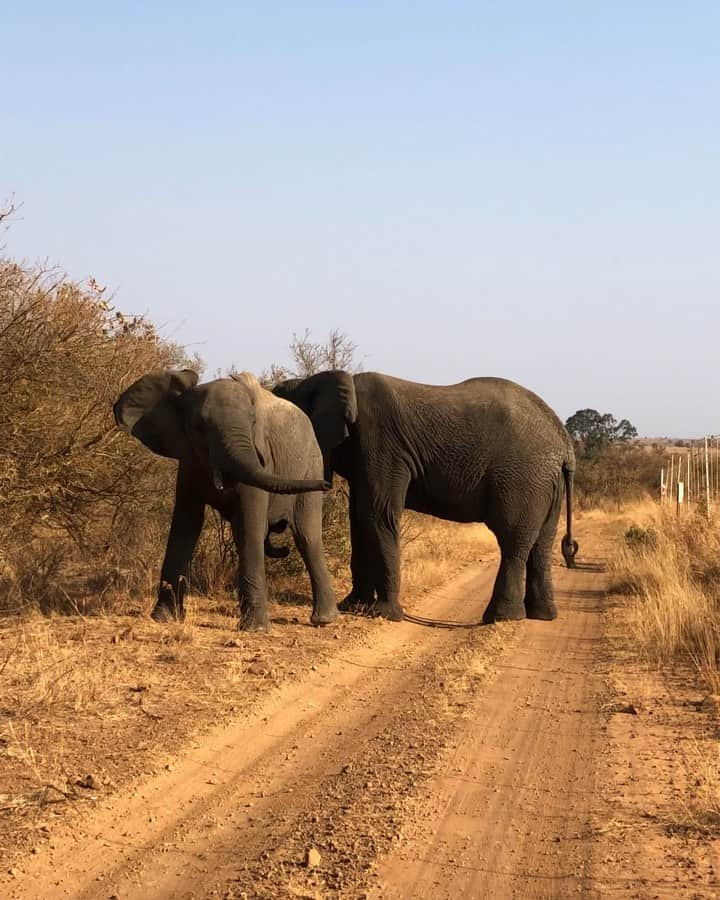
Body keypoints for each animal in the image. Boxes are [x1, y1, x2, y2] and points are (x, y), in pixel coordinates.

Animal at [112, 370, 338, 628]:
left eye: (253, 423)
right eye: (199, 427)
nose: (328, 484)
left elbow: (248, 528)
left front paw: (255, 629)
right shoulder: (189, 461)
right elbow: (185, 524)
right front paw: (163, 618)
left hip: (311, 464)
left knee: (307, 536)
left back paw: (324, 620)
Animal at [272, 370, 580, 624]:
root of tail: (565, 443)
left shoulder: (380, 442)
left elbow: (377, 515)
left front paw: (384, 615)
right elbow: (358, 519)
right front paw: (353, 607)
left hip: (523, 478)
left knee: (513, 540)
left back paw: (501, 618)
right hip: (545, 483)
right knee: (541, 543)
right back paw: (542, 615)